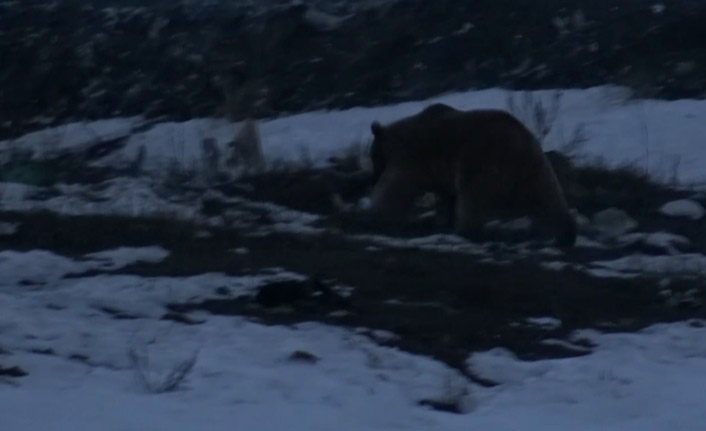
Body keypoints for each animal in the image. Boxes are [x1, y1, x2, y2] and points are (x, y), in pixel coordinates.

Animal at [366, 103, 576, 248]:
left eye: (372, 156)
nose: (373, 178)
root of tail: (519, 144)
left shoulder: (415, 158)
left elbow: (397, 183)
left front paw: (380, 212)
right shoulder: (440, 173)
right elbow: (447, 196)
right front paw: (444, 219)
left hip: (481, 162)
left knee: (472, 199)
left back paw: (465, 230)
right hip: (536, 168)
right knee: (548, 197)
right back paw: (566, 233)